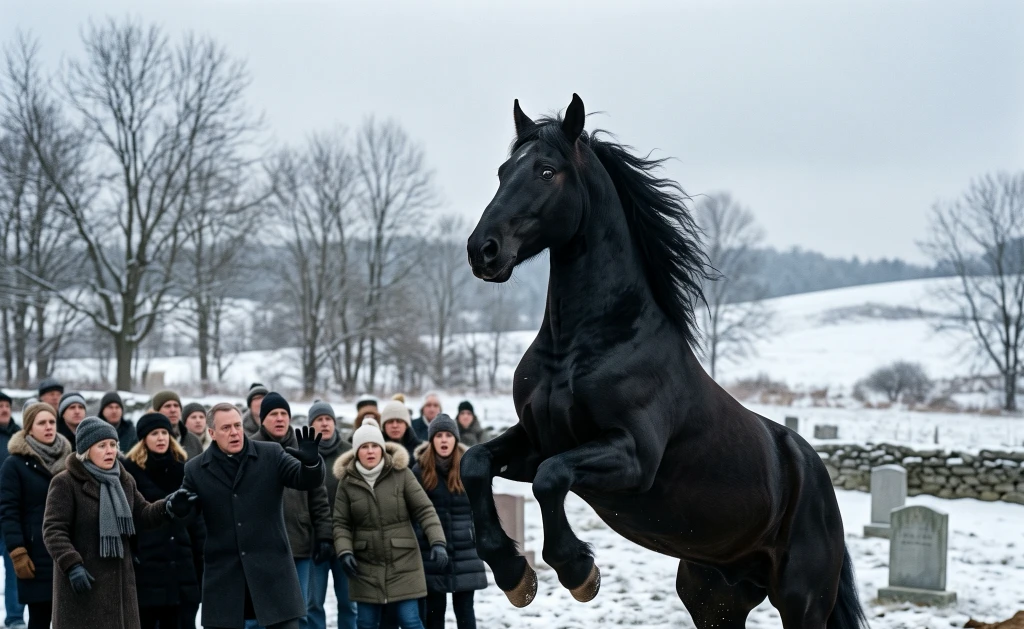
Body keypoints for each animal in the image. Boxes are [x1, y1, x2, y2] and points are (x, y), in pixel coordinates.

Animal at [462, 94, 868, 629]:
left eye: (547, 171)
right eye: (503, 171)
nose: (482, 250)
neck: (583, 349)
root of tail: (816, 474)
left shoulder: (632, 456)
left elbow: (552, 479)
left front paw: (578, 571)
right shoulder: (535, 439)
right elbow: (474, 462)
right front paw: (514, 575)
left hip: (803, 603)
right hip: (715, 600)